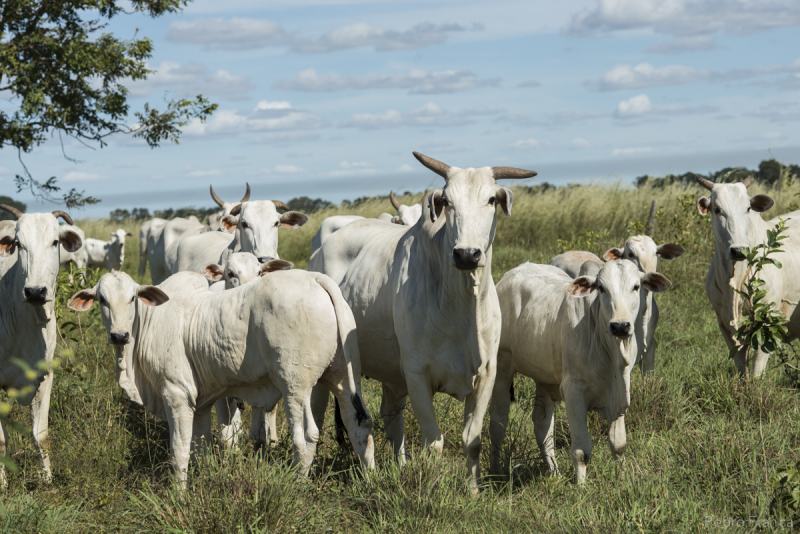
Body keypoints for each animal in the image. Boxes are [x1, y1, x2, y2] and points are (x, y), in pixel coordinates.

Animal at [0, 205, 82, 490]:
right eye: (18, 244)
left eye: (55, 241)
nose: (35, 291)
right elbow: (0, 442)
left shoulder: (44, 376)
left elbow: (41, 435)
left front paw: (47, 480)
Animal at [68, 270, 376, 488]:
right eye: (102, 299)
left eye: (132, 298)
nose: (119, 335)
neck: (149, 323)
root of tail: (315, 278)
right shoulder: (201, 403)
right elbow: (200, 446)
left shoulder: (176, 396)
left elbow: (179, 450)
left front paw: (178, 494)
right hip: (343, 378)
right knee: (359, 425)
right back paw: (369, 480)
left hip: (295, 387)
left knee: (306, 438)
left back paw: (298, 485)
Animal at [310, 153, 536, 496]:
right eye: (448, 201)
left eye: (490, 200)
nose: (467, 254)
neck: (460, 308)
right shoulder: (417, 375)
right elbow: (434, 443)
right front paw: (435, 487)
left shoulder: (486, 374)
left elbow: (472, 440)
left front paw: (473, 491)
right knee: (325, 408)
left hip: (392, 372)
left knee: (392, 417)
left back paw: (400, 465)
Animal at [692, 178, 800, 378]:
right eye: (717, 209)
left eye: (748, 208)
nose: (739, 250)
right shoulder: (723, 322)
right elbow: (740, 362)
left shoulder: (767, 321)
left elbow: (757, 365)